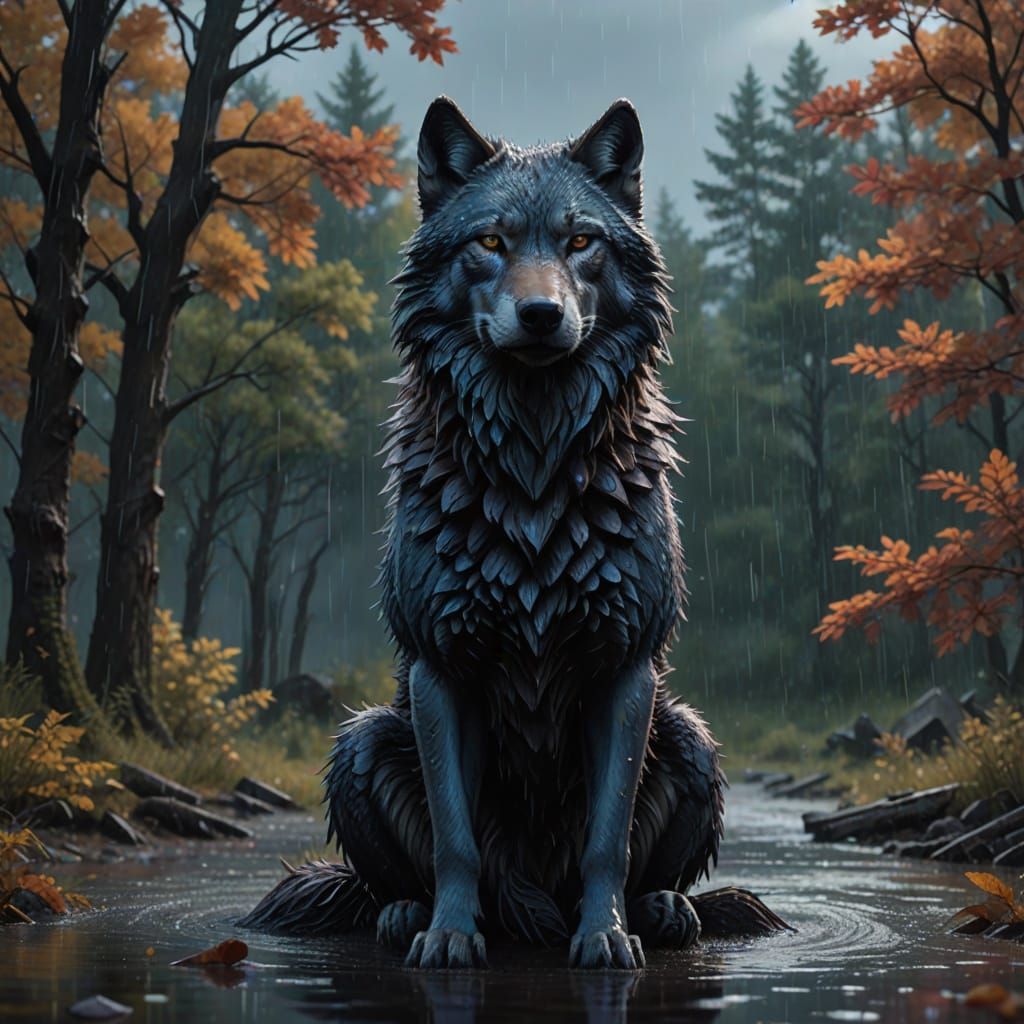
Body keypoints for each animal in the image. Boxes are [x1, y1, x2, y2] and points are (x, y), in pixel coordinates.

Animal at [241, 97, 788, 969]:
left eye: (579, 242)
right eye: (491, 243)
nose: (541, 314)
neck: (533, 474)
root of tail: (534, 906)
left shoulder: (625, 672)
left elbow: (607, 841)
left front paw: (606, 937)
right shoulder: (440, 670)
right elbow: (455, 839)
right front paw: (450, 936)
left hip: (692, 736)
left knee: (655, 868)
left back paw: (661, 912)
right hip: (363, 737)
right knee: (390, 879)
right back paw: (410, 915)